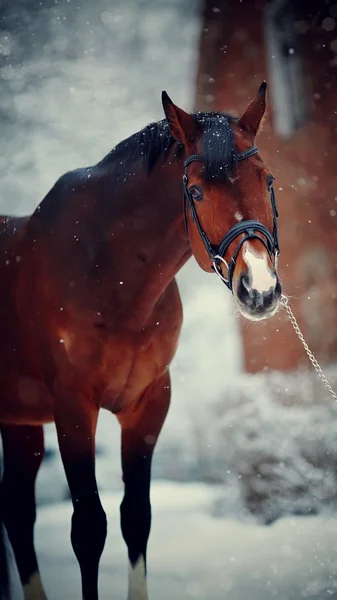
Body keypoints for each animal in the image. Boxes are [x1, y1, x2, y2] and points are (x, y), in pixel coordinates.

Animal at [0, 81, 280, 600]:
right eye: (195, 190)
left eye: (268, 180)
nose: (260, 288)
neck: (108, 273)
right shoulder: (74, 407)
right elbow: (88, 528)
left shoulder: (148, 404)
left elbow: (136, 518)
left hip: (21, 421)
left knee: (17, 512)